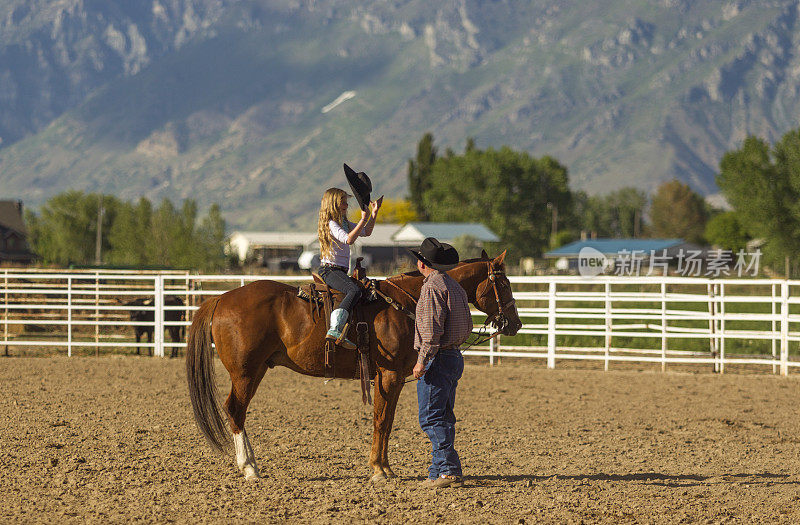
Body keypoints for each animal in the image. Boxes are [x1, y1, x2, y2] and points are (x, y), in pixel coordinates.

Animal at [188, 250, 524, 478]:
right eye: (505, 284)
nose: (516, 323)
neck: (404, 304)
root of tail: (221, 299)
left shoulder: (393, 378)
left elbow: (387, 421)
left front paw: (385, 467)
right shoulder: (389, 375)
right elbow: (381, 420)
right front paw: (378, 469)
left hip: (255, 371)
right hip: (245, 373)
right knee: (235, 410)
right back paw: (249, 468)